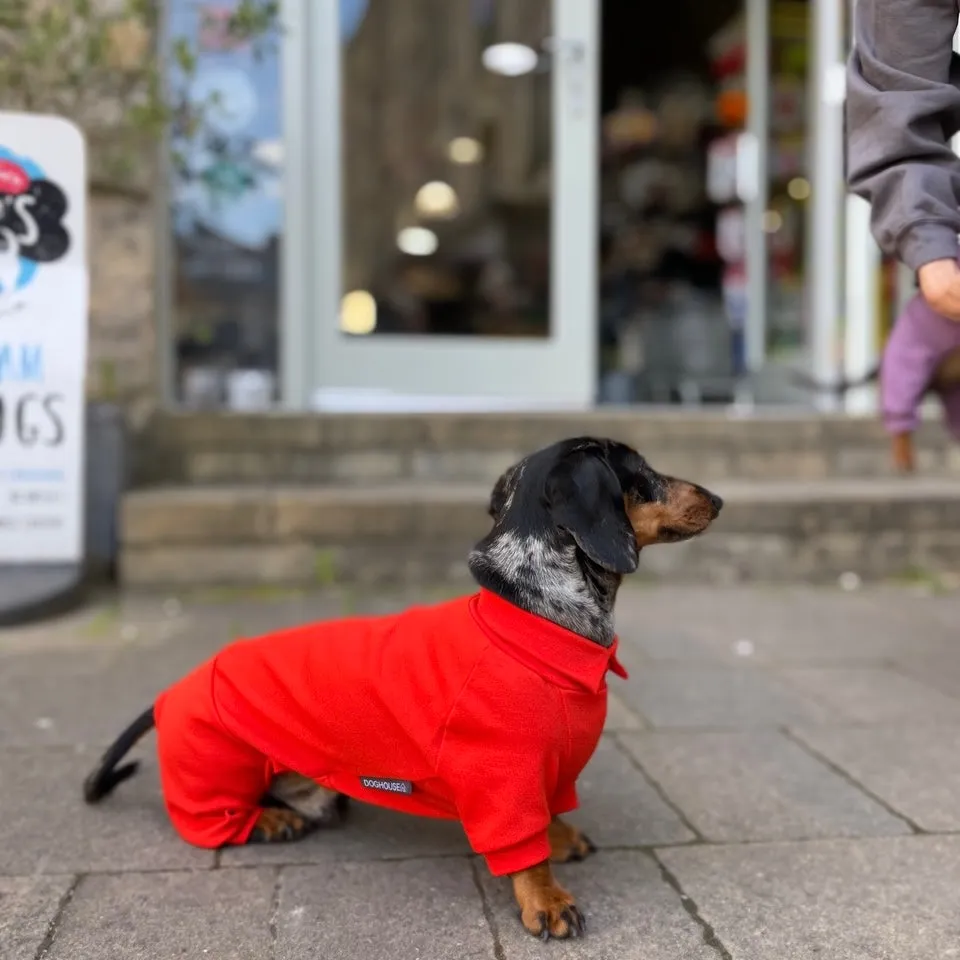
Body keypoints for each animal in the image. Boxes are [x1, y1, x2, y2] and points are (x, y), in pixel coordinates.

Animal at [84, 438, 720, 940]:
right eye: (642, 470)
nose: (718, 500)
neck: (539, 620)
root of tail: (169, 694)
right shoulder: (504, 779)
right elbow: (525, 850)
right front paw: (546, 900)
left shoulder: (553, 772)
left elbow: (550, 816)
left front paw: (562, 837)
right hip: (217, 767)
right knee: (212, 820)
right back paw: (267, 822)